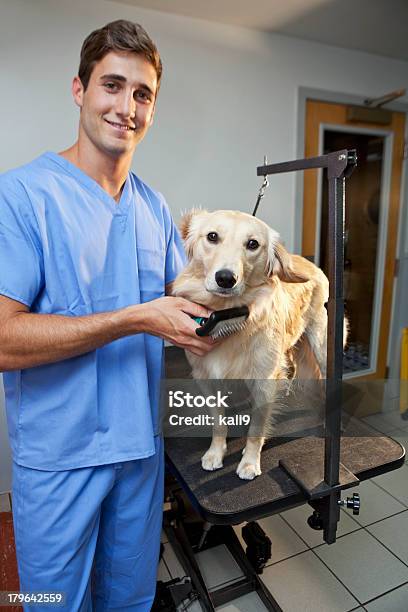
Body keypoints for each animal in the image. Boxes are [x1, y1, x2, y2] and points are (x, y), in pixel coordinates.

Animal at [171, 208, 332, 480]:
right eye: (212, 236)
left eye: (253, 244)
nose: (226, 278)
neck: (227, 315)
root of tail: (310, 263)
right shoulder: (206, 378)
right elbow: (218, 422)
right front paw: (216, 453)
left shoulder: (264, 382)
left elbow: (256, 428)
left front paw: (249, 462)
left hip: (321, 346)